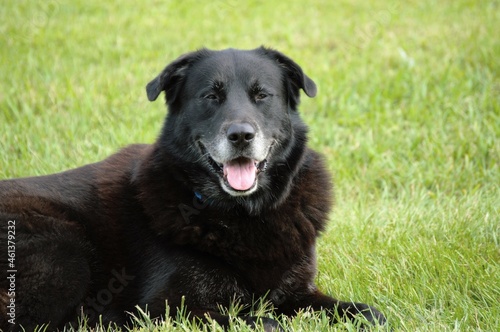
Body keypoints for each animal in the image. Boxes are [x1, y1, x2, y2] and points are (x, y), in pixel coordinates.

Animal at [0, 46, 384, 330]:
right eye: (211, 96)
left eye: (262, 95)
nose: (241, 135)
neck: (243, 214)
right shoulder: (163, 309)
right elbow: (262, 322)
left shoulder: (298, 293)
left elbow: (369, 313)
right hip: (64, 252)